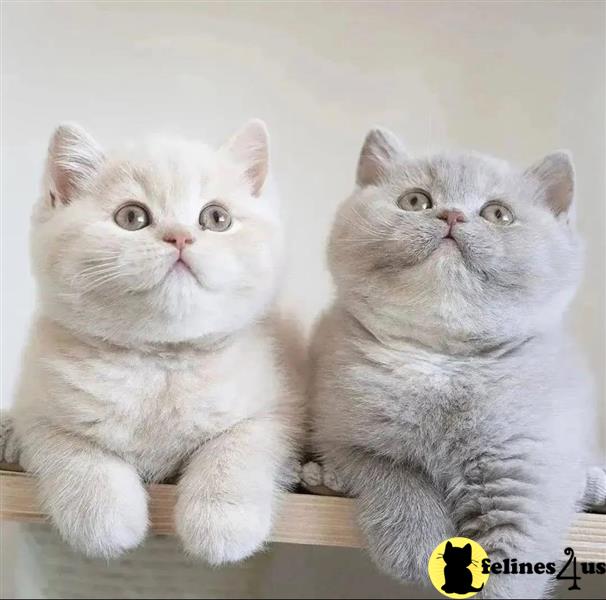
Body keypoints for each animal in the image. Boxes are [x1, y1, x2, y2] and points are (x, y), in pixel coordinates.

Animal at [8, 120, 304, 564]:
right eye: (132, 216)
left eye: (216, 217)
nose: (179, 237)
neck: (161, 363)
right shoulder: (34, 407)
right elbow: (72, 446)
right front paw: (102, 516)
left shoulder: (279, 405)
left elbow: (240, 444)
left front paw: (221, 521)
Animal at [312, 129, 600, 596]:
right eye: (415, 201)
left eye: (498, 214)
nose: (451, 215)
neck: (444, 362)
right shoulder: (340, 428)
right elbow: (392, 471)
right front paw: (415, 542)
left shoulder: (527, 474)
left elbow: (513, 565)